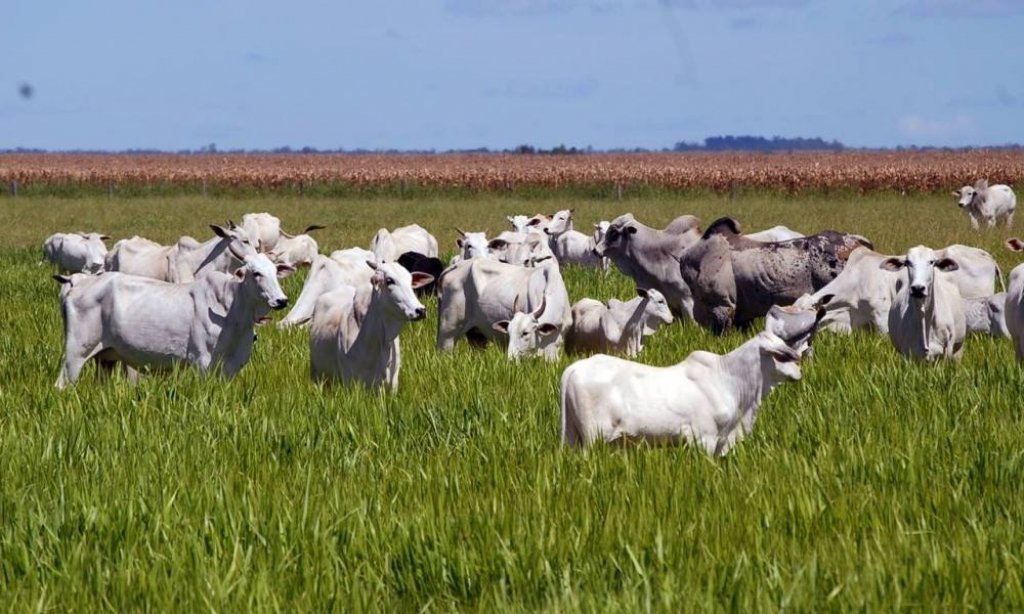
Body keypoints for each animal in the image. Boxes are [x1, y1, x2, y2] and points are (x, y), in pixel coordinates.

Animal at [55, 249, 290, 388]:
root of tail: (77, 283)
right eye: (256, 273)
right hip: (76, 353)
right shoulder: (202, 362)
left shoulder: (232, 367)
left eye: (275, 272)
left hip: (105, 358)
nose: (282, 300)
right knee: (63, 383)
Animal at [305, 260, 430, 390]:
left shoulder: (392, 385)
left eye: (410, 281)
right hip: (317, 374)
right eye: (389, 280)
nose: (420, 310)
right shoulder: (350, 382)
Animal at [436, 257, 573, 362]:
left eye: (525, 332)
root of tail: (455, 266)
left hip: (476, 336)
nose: (511, 358)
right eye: (509, 332)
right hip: (448, 331)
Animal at [561, 302, 823, 456]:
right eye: (780, 355)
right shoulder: (704, 439)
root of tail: (574, 368)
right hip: (592, 438)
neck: (728, 379)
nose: (799, 372)